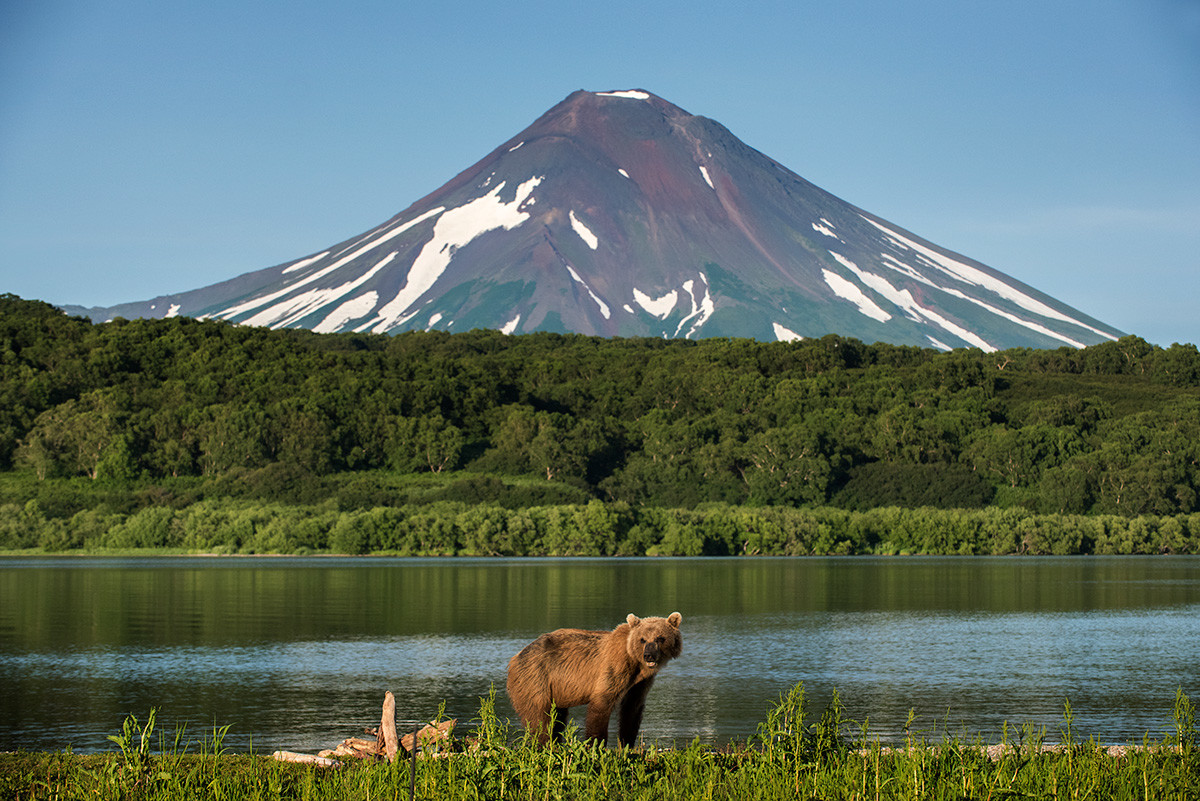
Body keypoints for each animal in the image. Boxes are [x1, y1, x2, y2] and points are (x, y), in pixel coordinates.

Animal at [504, 613, 681, 743]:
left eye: (660, 638)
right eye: (642, 639)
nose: (648, 655)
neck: (636, 663)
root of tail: (515, 657)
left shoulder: (640, 683)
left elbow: (632, 709)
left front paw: (627, 745)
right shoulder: (614, 668)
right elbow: (601, 705)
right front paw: (596, 744)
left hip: (556, 689)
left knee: (558, 718)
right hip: (535, 678)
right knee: (540, 718)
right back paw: (544, 744)